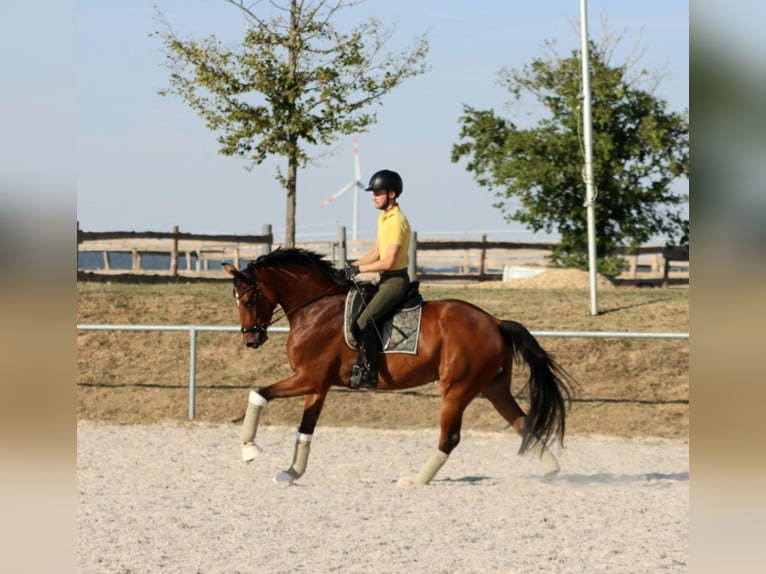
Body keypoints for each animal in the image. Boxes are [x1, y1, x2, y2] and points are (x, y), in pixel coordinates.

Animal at [222, 250, 576, 488]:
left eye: (248, 300)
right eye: (236, 299)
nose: (251, 340)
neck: (315, 308)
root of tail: (495, 322)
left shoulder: (307, 378)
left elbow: (258, 393)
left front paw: (249, 450)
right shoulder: (317, 385)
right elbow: (305, 430)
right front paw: (291, 472)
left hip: (457, 389)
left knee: (450, 437)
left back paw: (416, 480)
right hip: (493, 388)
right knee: (522, 423)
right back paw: (551, 472)